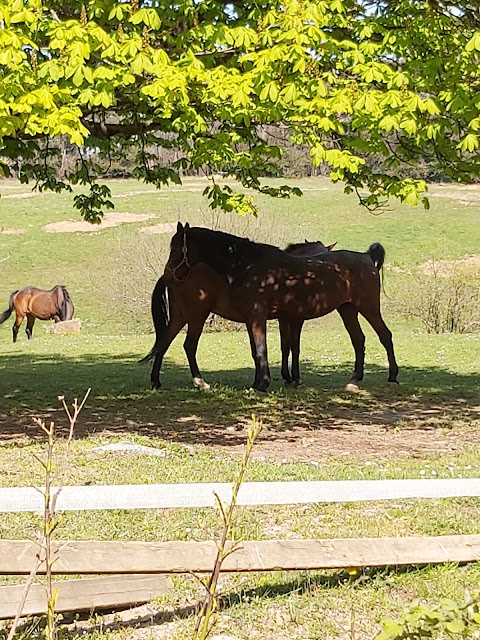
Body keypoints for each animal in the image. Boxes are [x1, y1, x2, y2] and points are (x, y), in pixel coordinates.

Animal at [142, 240, 334, 390]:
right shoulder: (294, 320)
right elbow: (293, 347)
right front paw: (294, 378)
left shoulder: (280, 319)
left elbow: (282, 347)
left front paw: (285, 377)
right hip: (197, 317)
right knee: (189, 346)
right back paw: (200, 382)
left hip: (180, 317)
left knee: (163, 343)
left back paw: (155, 382)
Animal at [167, 225, 400, 396]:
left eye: (177, 249)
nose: (170, 273)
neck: (248, 266)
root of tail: (366, 257)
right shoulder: (255, 319)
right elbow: (260, 351)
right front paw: (260, 383)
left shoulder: (261, 317)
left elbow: (264, 350)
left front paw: (264, 384)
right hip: (348, 310)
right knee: (359, 340)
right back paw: (354, 381)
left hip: (368, 308)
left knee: (385, 336)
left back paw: (392, 377)